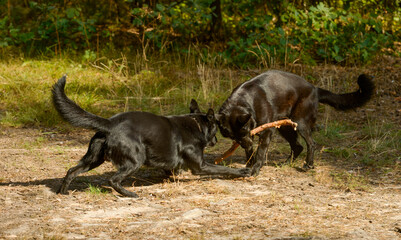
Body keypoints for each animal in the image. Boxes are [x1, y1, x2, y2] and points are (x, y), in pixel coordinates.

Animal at [51, 75, 248, 197]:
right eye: (216, 129)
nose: (216, 141)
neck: (196, 125)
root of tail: (110, 123)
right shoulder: (201, 166)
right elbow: (224, 169)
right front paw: (242, 172)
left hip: (93, 159)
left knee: (71, 171)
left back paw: (63, 192)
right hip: (134, 159)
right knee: (113, 179)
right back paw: (130, 194)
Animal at [217, 70, 374, 175]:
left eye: (243, 130)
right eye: (232, 136)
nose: (245, 144)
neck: (245, 101)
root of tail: (315, 89)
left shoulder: (266, 131)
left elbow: (261, 151)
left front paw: (255, 168)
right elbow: (250, 152)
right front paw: (249, 165)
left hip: (300, 123)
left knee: (311, 143)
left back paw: (308, 165)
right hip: (285, 127)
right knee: (298, 146)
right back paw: (286, 163)